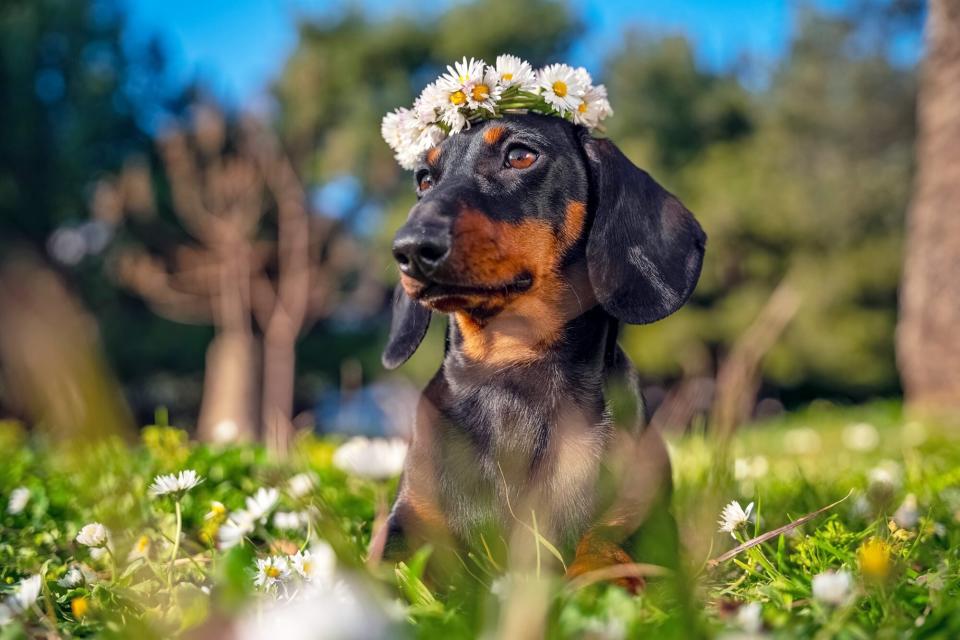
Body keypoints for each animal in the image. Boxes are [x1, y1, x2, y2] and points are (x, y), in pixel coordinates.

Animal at [374, 112, 704, 584]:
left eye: (520, 156)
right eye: (424, 178)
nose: (411, 248)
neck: (511, 371)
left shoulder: (638, 519)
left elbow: (604, 546)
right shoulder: (409, 522)